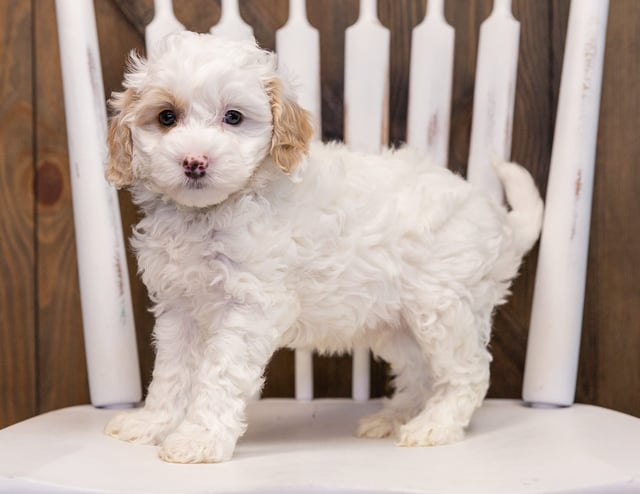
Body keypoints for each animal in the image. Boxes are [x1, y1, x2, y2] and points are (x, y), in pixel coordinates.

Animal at [105, 31, 544, 464]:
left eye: (233, 117)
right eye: (166, 117)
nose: (194, 161)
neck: (209, 214)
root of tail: (498, 220)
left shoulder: (252, 305)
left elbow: (219, 375)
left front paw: (198, 439)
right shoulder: (179, 307)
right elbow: (171, 373)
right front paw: (152, 424)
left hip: (443, 308)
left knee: (468, 372)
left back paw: (434, 425)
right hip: (397, 324)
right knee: (420, 372)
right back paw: (394, 418)